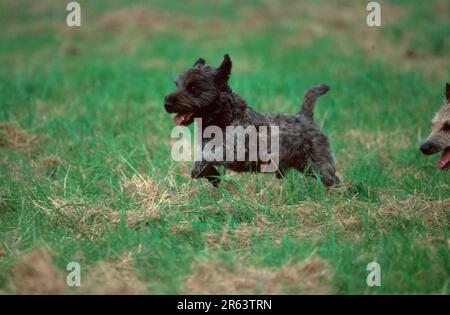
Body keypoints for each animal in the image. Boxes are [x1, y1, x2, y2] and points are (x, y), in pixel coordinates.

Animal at [163, 54, 340, 188]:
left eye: (193, 87)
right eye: (177, 84)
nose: (167, 102)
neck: (224, 116)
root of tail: (305, 117)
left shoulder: (232, 150)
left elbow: (204, 158)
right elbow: (201, 165)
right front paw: (213, 177)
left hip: (320, 165)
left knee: (334, 180)